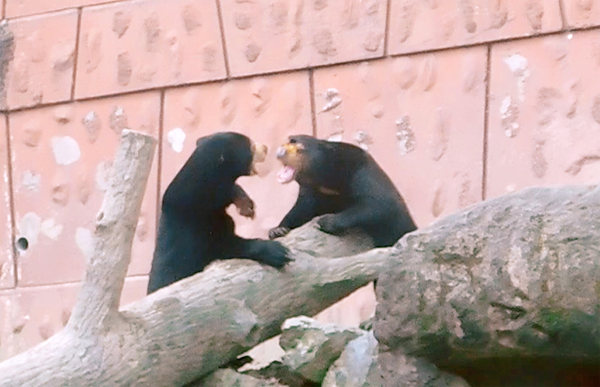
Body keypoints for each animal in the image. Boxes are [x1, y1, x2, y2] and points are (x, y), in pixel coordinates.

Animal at [148, 132, 292, 296]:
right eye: (251, 145)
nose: (266, 148)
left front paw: (247, 206)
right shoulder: (199, 225)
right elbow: (226, 245)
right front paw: (279, 252)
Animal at [268, 135, 414, 247]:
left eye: (298, 147)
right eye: (289, 140)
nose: (280, 151)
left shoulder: (361, 171)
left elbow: (380, 203)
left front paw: (325, 222)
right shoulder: (312, 191)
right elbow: (300, 210)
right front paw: (277, 230)